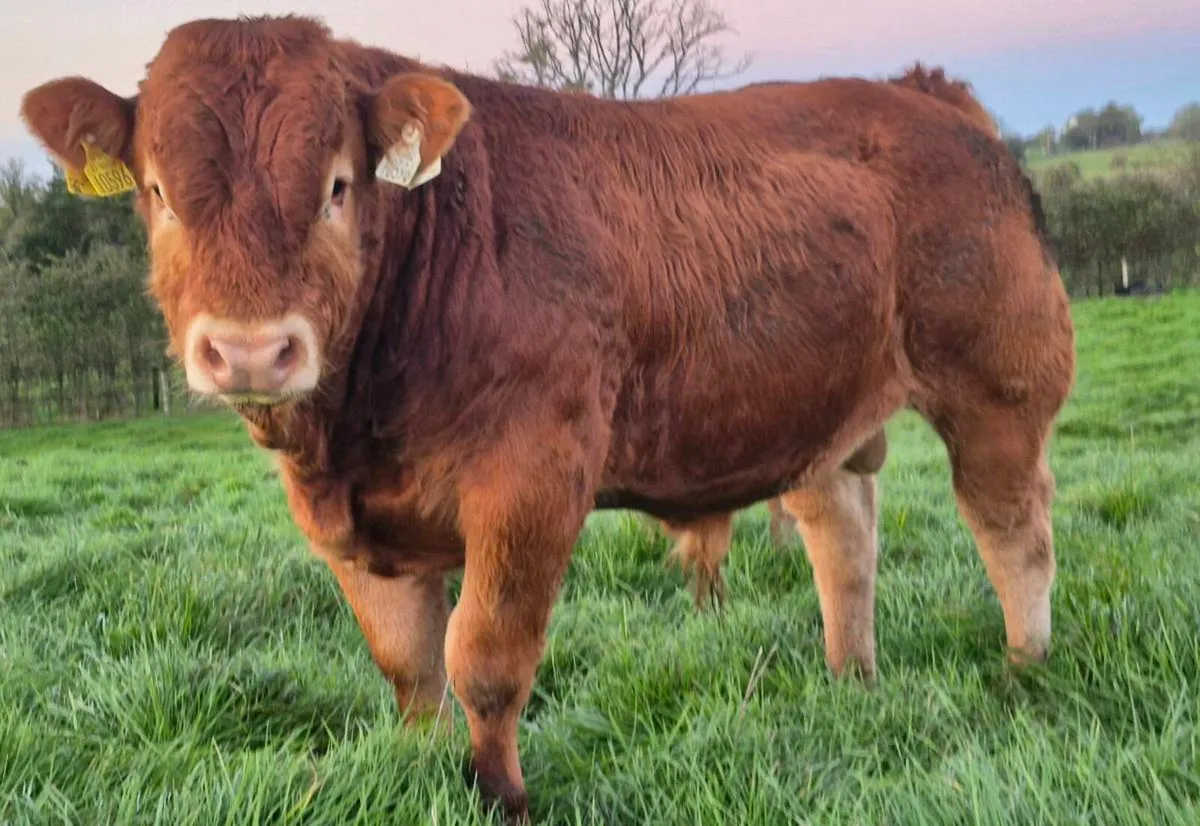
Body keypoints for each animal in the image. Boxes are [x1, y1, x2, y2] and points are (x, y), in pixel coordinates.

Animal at [20, 16, 1076, 822]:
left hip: (999, 389)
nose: (248, 350)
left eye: (336, 185)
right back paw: (848, 679)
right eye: (158, 191)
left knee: (1012, 530)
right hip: (822, 416)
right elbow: (408, 667)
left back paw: (1026, 669)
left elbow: (483, 659)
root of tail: (923, 95)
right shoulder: (349, 527)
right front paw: (421, 771)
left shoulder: (531, 484)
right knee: (844, 540)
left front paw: (502, 798)